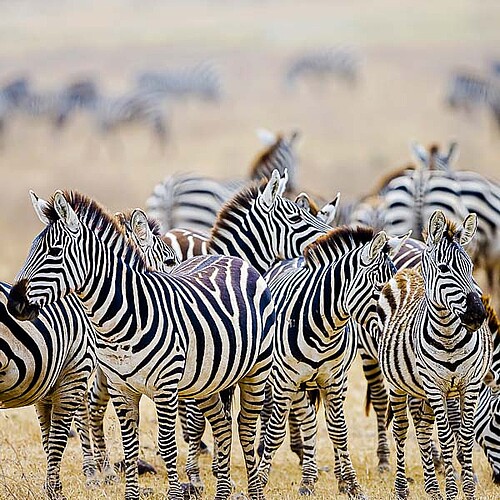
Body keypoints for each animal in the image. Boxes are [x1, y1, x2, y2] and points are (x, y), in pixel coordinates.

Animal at [7, 188, 276, 500]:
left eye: (54, 252)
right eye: (32, 249)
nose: (14, 304)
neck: (121, 320)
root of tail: (232, 258)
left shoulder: (166, 387)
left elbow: (167, 445)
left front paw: (176, 493)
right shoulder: (121, 388)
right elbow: (130, 446)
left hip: (257, 370)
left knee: (245, 425)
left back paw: (254, 490)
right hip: (208, 380)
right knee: (222, 424)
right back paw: (222, 492)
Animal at [256, 226, 408, 496]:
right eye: (380, 290)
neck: (324, 329)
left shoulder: (334, 381)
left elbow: (339, 431)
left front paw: (353, 485)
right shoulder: (286, 382)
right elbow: (275, 433)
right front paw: (260, 484)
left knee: (316, 419)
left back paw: (320, 478)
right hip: (285, 381)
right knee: (302, 419)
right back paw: (304, 477)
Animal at [376, 211, 490, 500]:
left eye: (471, 267)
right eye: (444, 269)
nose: (477, 315)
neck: (449, 336)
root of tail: (409, 272)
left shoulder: (469, 384)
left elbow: (465, 435)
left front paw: (467, 491)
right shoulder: (435, 386)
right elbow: (447, 437)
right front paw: (451, 491)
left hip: (423, 391)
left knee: (424, 428)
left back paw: (431, 488)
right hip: (398, 385)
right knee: (402, 429)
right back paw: (402, 488)